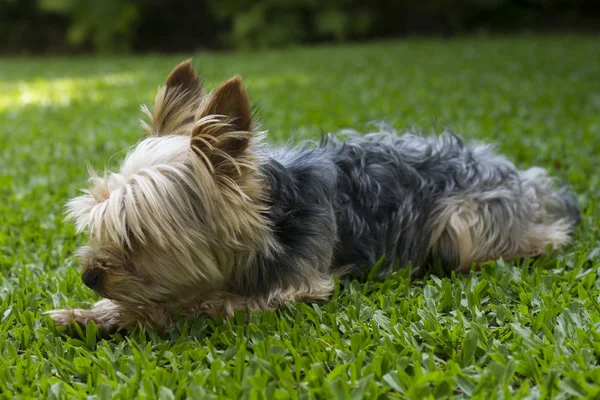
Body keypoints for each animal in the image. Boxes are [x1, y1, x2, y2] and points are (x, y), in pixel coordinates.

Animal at [48, 60, 580, 334]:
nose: (89, 276)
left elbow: (187, 304)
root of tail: (525, 176)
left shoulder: (298, 287)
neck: (274, 217)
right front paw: (86, 314)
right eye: (96, 227)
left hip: (463, 225)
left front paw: (121, 315)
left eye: (136, 236)